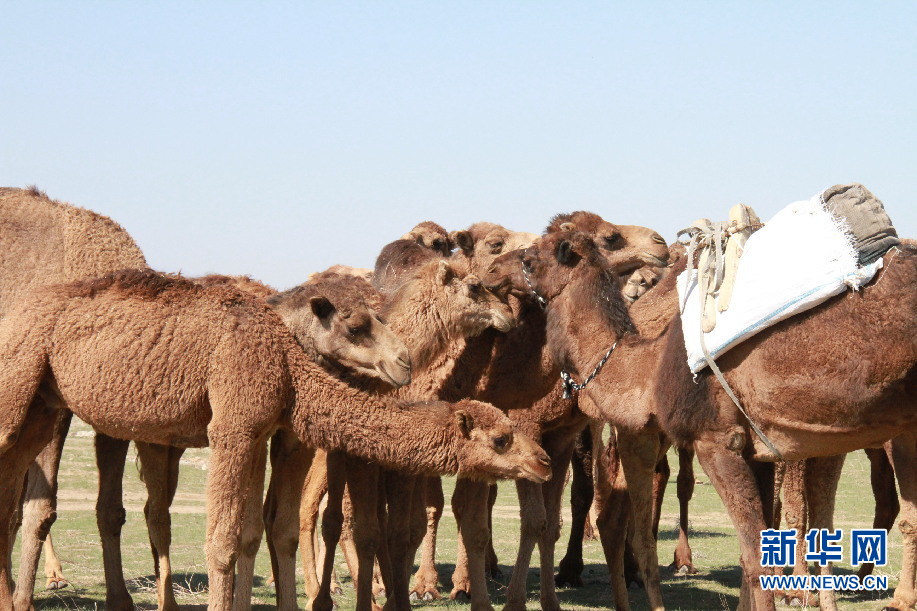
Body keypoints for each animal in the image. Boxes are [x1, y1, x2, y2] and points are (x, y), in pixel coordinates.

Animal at [0, 268, 553, 611]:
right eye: (501, 440)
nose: (544, 461)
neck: (289, 364)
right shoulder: (234, 425)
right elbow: (225, 541)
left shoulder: (272, 431)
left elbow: (263, 530)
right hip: (20, 385)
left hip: (46, 404)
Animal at [485, 229, 916, 611]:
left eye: (529, 258)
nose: (490, 272)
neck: (649, 366)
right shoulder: (760, 449)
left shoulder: (718, 440)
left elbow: (756, 558)